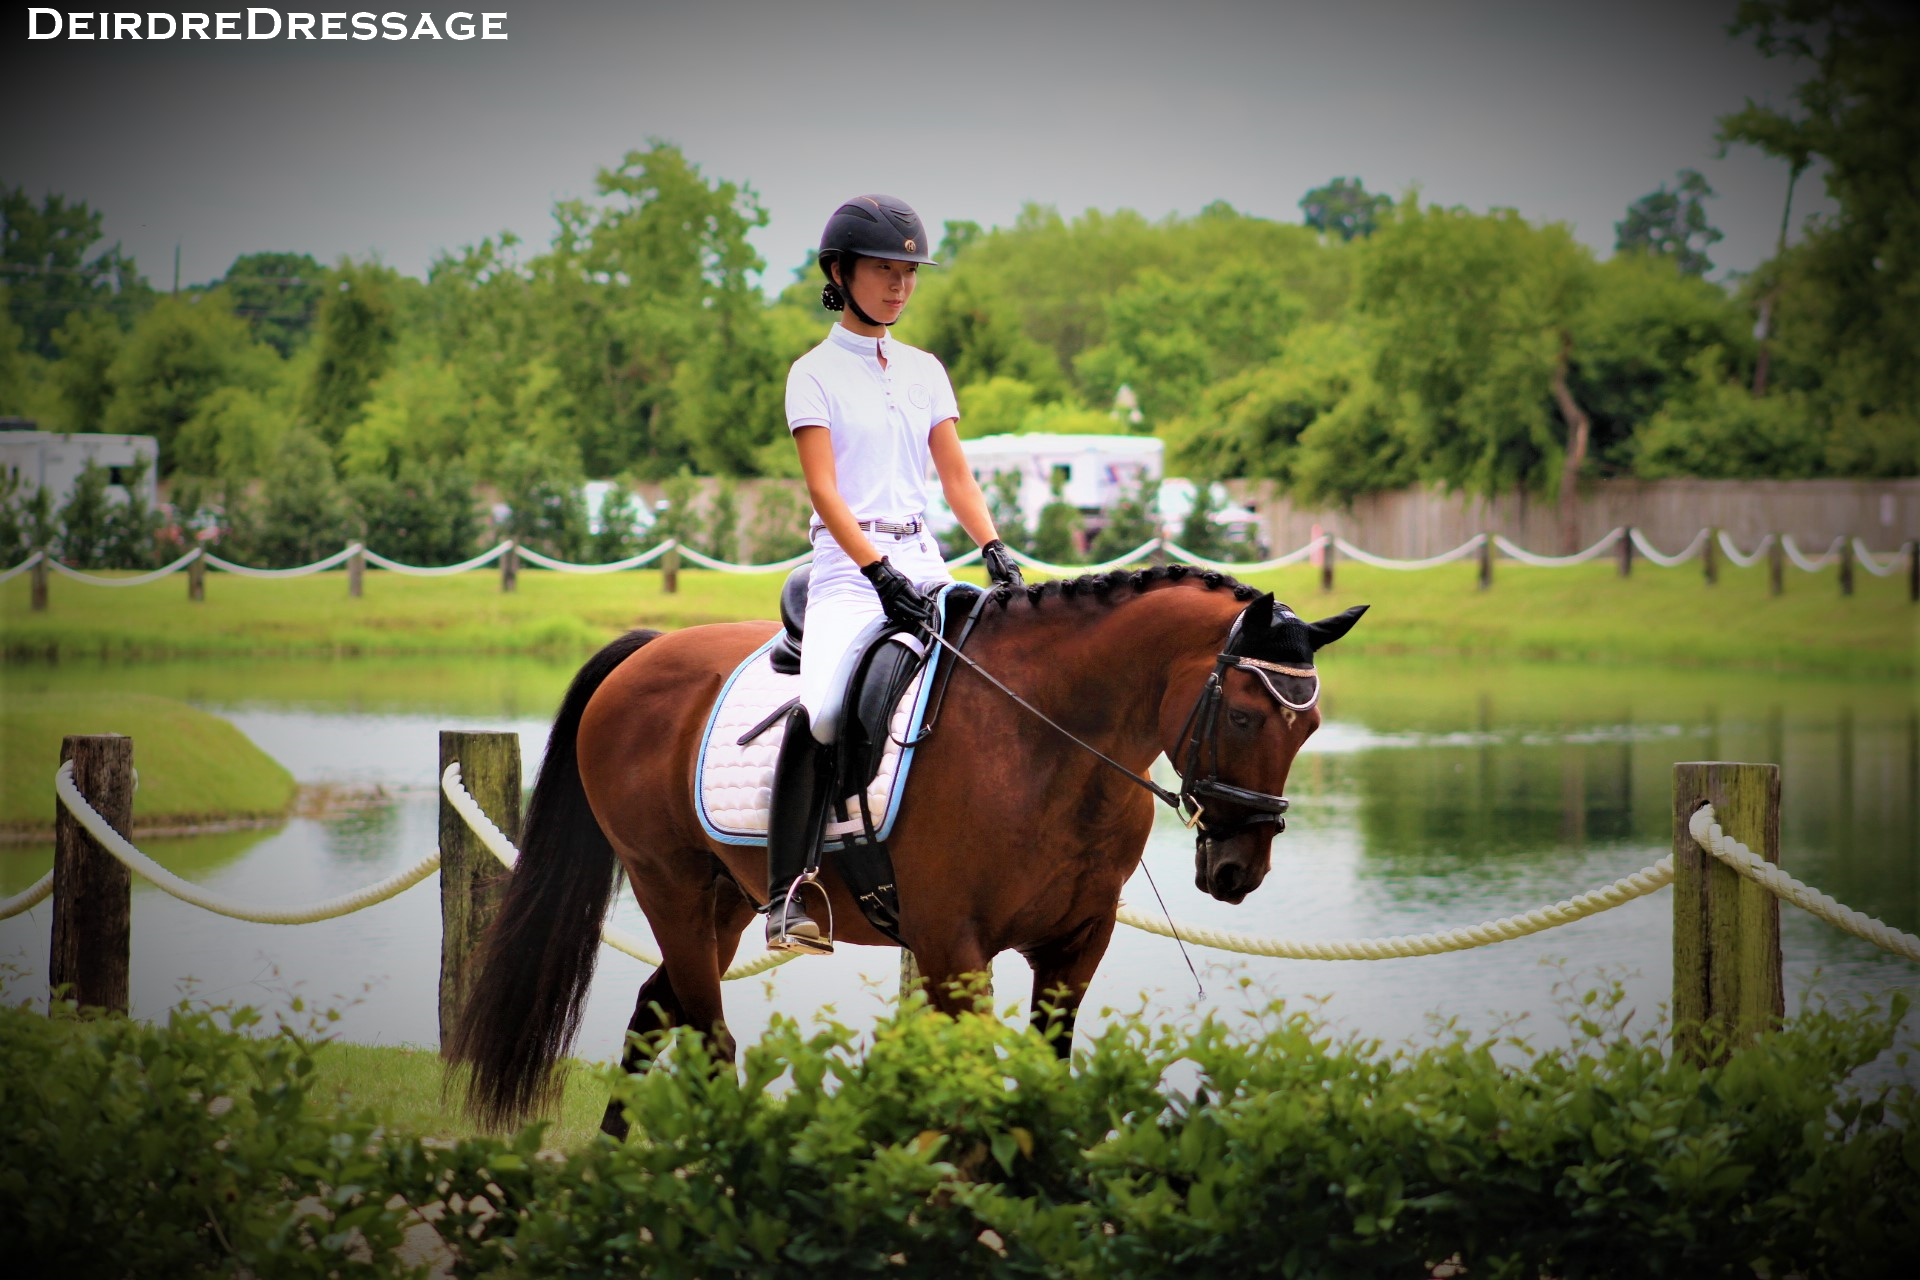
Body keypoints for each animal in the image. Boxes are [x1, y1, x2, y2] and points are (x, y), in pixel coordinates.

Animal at [448, 564, 1366, 1134]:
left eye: (1311, 726)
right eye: (1243, 715)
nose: (1238, 870)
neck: (1045, 736)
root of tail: (646, 651)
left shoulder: (1076, 943)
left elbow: (1041, 1072)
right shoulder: (953, 946)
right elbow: (969, 1075)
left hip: (725, 900)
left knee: (653, 1013)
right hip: (666, 884)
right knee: (706, 1037)